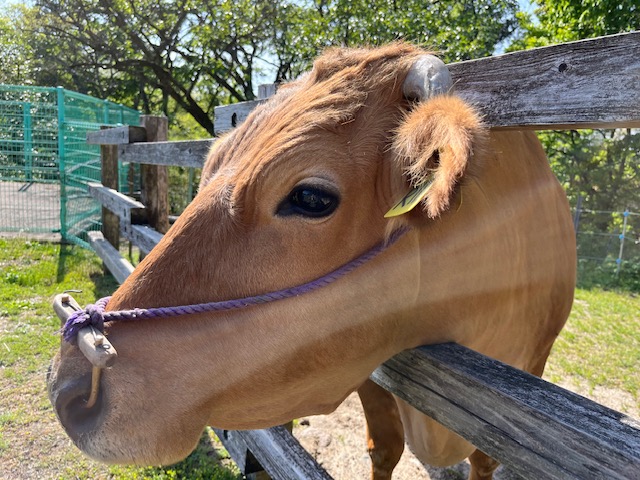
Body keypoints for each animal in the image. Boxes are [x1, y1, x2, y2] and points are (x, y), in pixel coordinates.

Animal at [45, 43, 576, 478]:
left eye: (311, 197)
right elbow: (385, 448)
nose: (67, 386)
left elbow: (485, 460)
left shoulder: (532, 365)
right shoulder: (366, 366)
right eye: (210, 168)